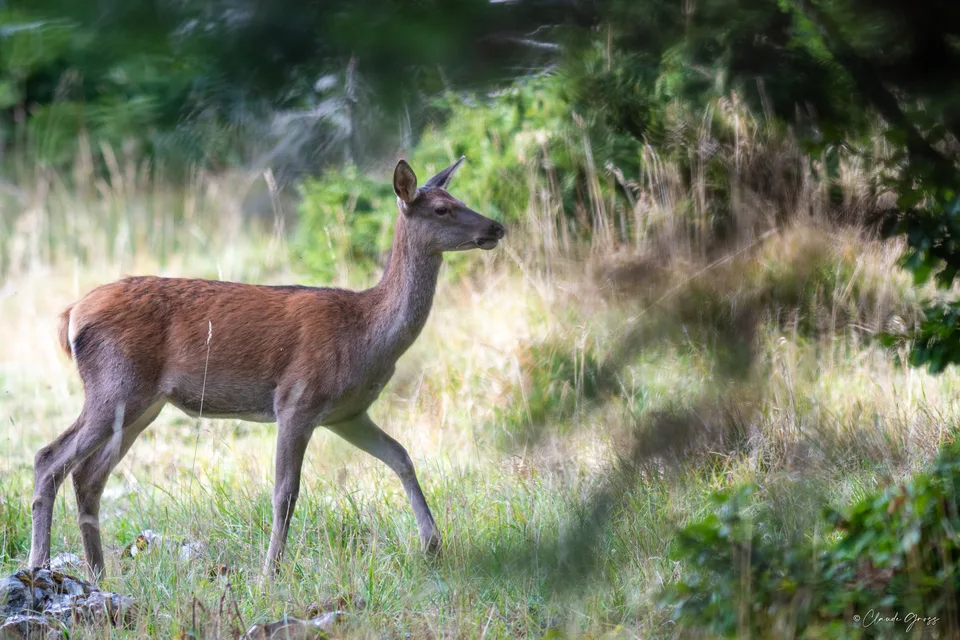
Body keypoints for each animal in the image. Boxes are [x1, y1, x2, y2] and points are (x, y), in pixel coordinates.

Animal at [28, 157, 505, 580]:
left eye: (458, 198)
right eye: (442, 209)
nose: (496, 227)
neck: (366, 335)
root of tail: (70, 314)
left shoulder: (347, 413)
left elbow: (402, 456)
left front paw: (433, 545)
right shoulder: (297, 398)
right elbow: (285, 492)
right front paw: (269, 574)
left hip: (143, 404)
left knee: (89, 475)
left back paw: (98, 573)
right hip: (116, 384)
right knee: (49, 457)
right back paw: (39, 565)